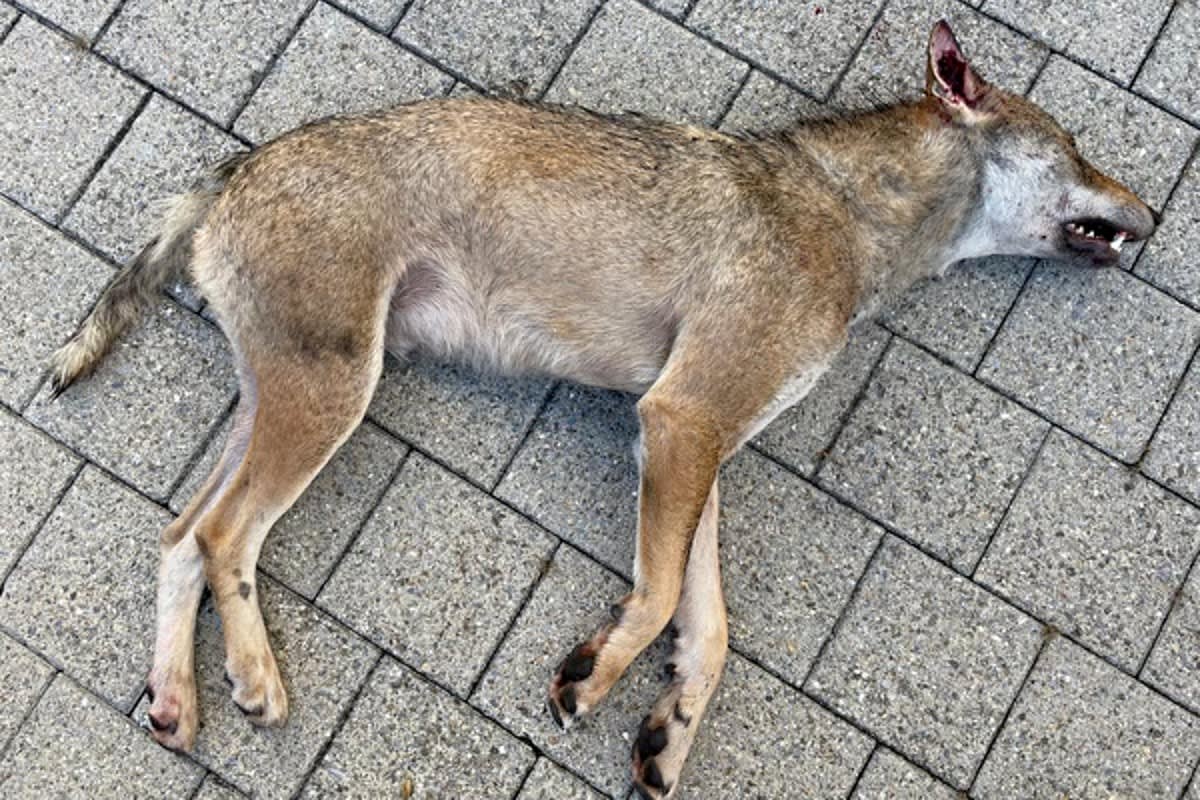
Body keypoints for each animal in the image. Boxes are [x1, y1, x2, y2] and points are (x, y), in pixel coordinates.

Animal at [49, 20, 1154, 799]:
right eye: (1077, 149)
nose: (1154, 213)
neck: (847, 210)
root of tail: (236, 165)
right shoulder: (683, 419)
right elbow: (659, 598)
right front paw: (593, 676)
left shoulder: (696, 442)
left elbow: (709, 628)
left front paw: (667, 732)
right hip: (328, 398)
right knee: (225, 537)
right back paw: (252, 676)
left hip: (284, 399)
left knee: (179, 537)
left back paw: (175, 701)